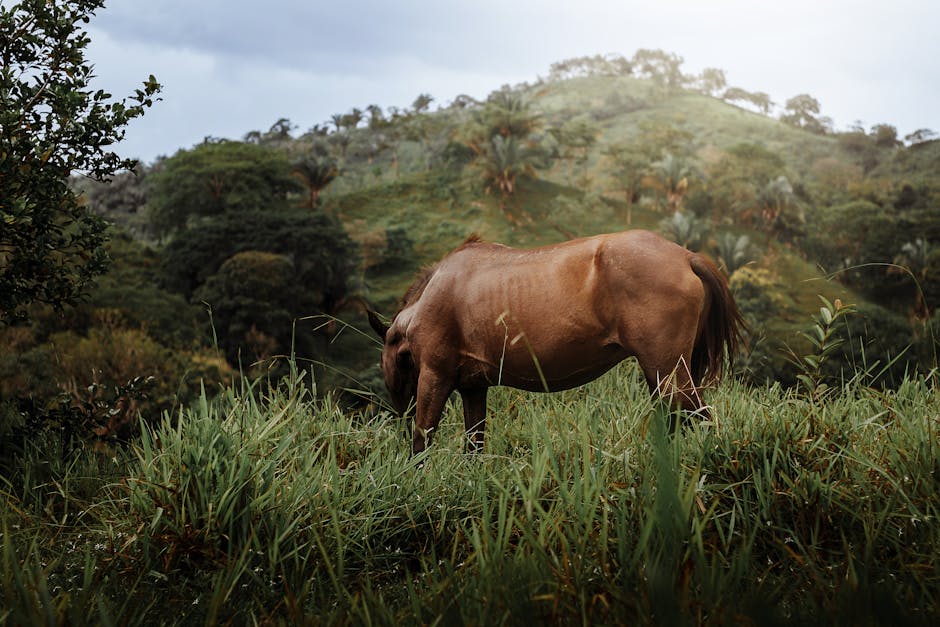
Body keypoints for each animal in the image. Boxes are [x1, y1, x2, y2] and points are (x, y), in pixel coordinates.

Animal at [370, 228, 744, 454]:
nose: (398, 412)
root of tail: (686, 256)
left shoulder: (435, 376)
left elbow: (422, 438)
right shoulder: (473, 388)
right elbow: (474, 443)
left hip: (669, 374)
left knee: (699, 418)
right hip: (667, 375)